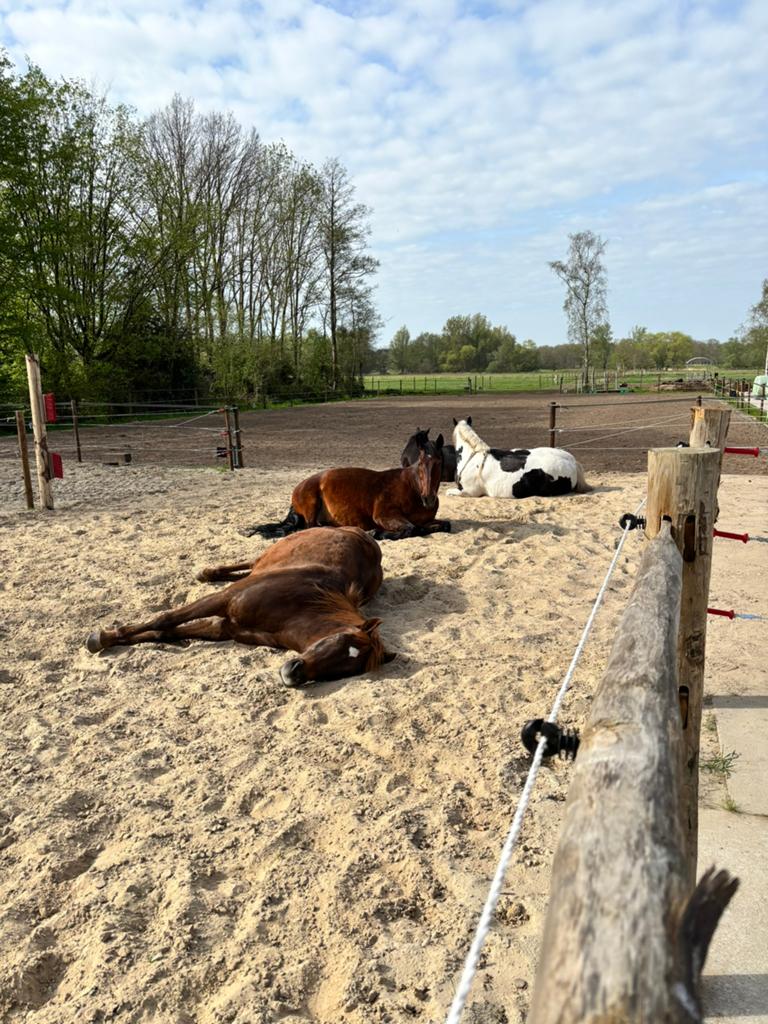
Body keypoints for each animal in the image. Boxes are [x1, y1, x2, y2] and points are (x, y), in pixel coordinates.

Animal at [85, 527, 394, 687]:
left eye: (346, 671)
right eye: (340, 641)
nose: (293, 675)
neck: (298, 606)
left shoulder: (223, 628)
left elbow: (166, 633)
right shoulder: (224, 599)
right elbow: (165, 619)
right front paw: (102, 637)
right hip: (270, 551)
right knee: (248, 562)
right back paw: (207, 572)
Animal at [243, 444, 450, 541]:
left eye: (439, 463)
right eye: (421, 464)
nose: (428, 499)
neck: (413, 488)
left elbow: (443, 525)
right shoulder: (384, 515)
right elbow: (410, 528)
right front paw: (377, 533)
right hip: (311, 505)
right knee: (309, 528)